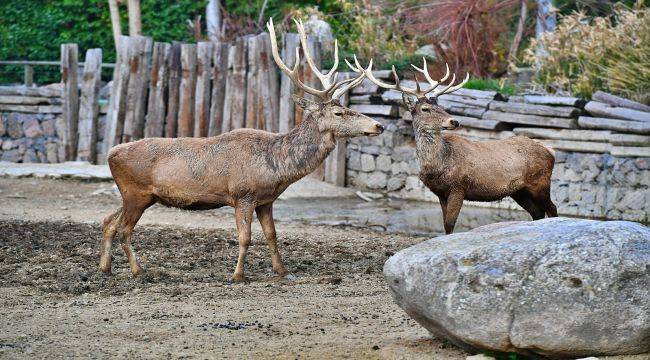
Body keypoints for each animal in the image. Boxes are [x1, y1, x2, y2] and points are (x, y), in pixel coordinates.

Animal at [98, 18, 382, 282]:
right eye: (338, 113)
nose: (378, 125)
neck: (276, 167)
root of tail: (110, 154)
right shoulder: (243, 194)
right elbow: (245, 237)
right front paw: (238, 275)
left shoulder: (266, 200)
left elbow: (272, 235)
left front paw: (281, 270)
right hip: (136, 193)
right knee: (124, 229)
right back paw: (138, 270)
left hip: (135, 196)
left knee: (108, 221)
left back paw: (105, 268)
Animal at [346, 57, 556, 233]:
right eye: (425, 108)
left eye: (442, 107)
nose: (454, 121)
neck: (438, 165)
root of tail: (551, 151)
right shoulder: (440, 192)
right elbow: (445, 224)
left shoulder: (458, 187)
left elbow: (450, 223)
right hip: (519, 191)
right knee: (538, 213)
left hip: (540, 182)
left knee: (552, 208)